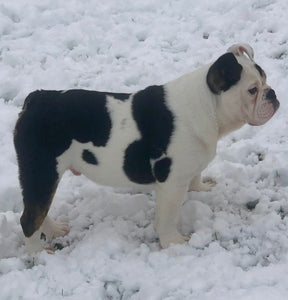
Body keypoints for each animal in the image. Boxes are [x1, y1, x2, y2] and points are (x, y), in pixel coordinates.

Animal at [13, 43, 280, 252]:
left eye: (266, 80)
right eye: (252, 90)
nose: (272, 94)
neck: (207, 105)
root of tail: (35, 100)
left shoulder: (188, 169)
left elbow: (196, 177)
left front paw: (202, 188)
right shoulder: (171, 184)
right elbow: (168, 217)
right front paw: (173, 242)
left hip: (44, 176)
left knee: (38, 209)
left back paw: (55, 230)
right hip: (42, 171)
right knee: (30, 217)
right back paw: (39, 253)